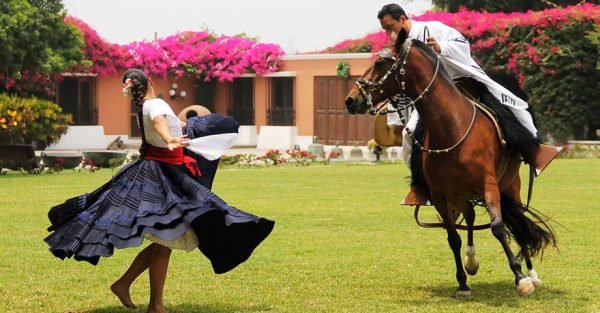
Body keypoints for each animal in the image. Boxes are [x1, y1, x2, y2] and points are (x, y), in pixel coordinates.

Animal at [344, 36, 556, 294]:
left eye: (380, 63)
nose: (351, 100)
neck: (452, 127)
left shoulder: (489, 185)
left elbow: (498, 227)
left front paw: (521, 278)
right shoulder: (440, 196)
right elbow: (453, 237)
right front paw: (462, 282)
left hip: (509, 185)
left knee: (517, 223)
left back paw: (532, 274)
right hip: (461, 195)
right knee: (472, 217)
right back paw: (471, 260)